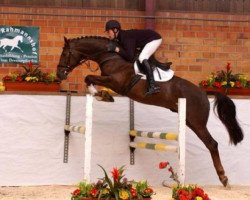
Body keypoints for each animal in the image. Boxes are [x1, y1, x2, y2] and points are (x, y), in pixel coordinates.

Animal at [55, 36, 243, 188]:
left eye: (65, 54)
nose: (59, 75)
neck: (112, 56)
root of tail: (203, 93)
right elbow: (89, 79)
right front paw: (102, 95)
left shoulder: (116, 82)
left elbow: (88, 77)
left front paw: (102, 95)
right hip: (188, 121)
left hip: (197, 123)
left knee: (212, 144)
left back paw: (223, 178)